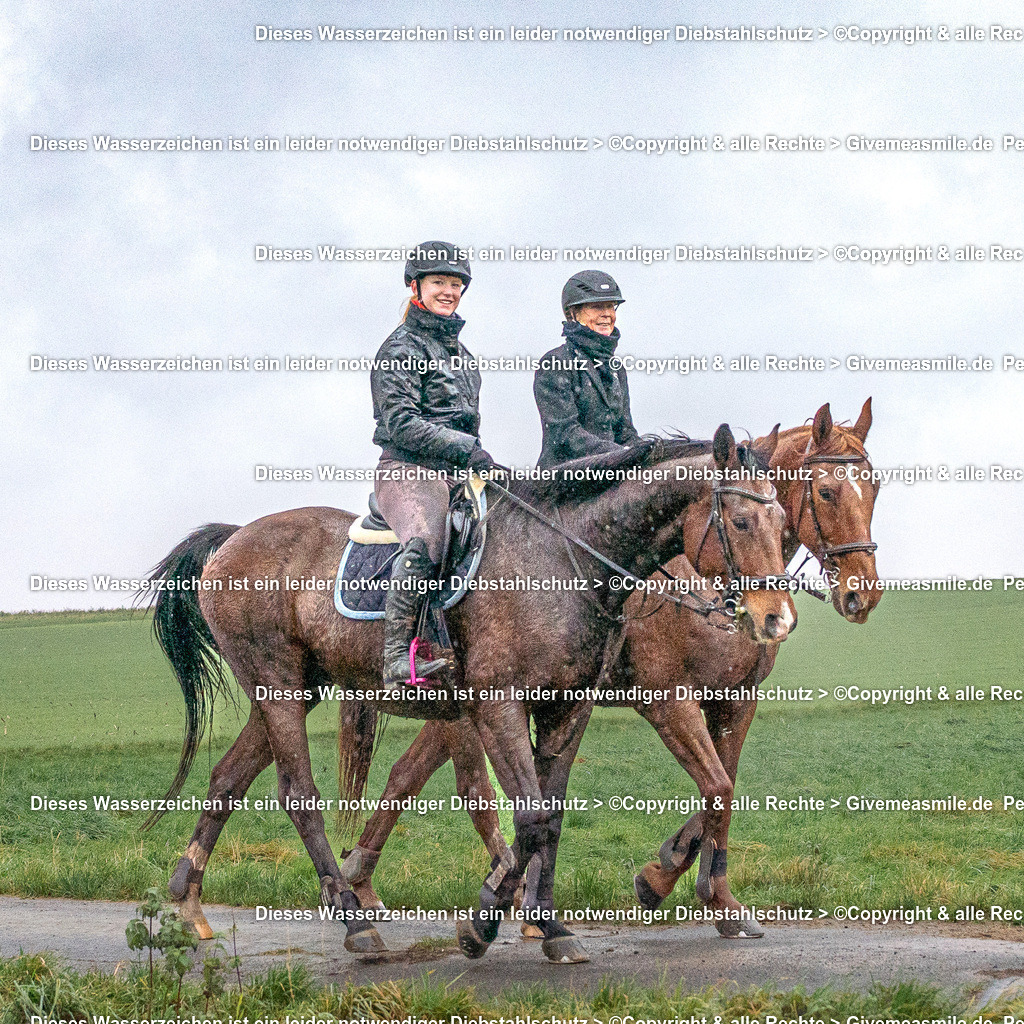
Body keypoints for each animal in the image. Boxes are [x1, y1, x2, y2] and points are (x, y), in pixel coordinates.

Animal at [148, 421, 794, 958]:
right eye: (741, 522)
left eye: (783, 523)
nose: (776, 620)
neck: (566, 558)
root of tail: (235, 538)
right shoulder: (505, 706)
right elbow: (531, 818)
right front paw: (483, 922)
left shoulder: (568, 710)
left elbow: (553, 819)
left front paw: (549, 926)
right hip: (278, 686)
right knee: (299, 795)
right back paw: (355, 920)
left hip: (293, 691)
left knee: (228, 779)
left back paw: (187, 901)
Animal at [335, 397, 880, 937]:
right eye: (827, 491)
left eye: (873, 487)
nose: (863, 594)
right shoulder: (668, 701)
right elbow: (715, 786)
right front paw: (659, 879)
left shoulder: (736, 701)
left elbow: (722, 793)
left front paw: (716, 897)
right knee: (463, 787)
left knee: (407, 773)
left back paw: (367, 879)